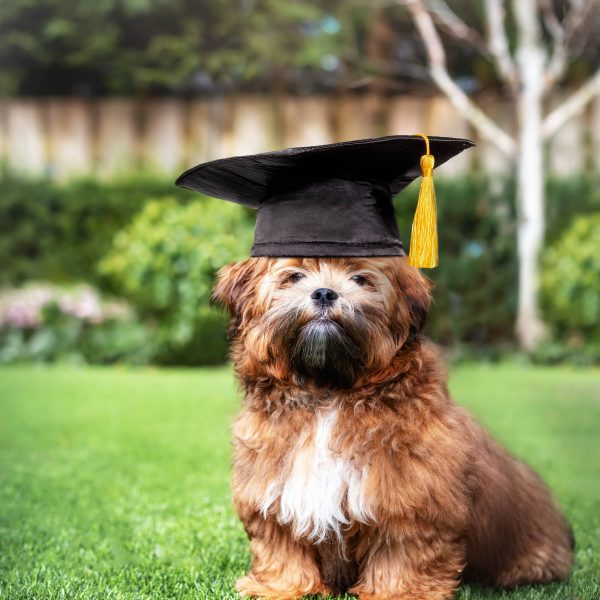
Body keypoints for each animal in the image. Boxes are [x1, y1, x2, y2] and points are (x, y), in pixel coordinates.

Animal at [213, 256, 576, 600]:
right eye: (294, 276)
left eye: (360, 278)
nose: (325, 293)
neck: (329, 393)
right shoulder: (270, 488)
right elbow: (281, 545)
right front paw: (282, 587)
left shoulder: (411, 497)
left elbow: (402, 552)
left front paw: (399, 591)